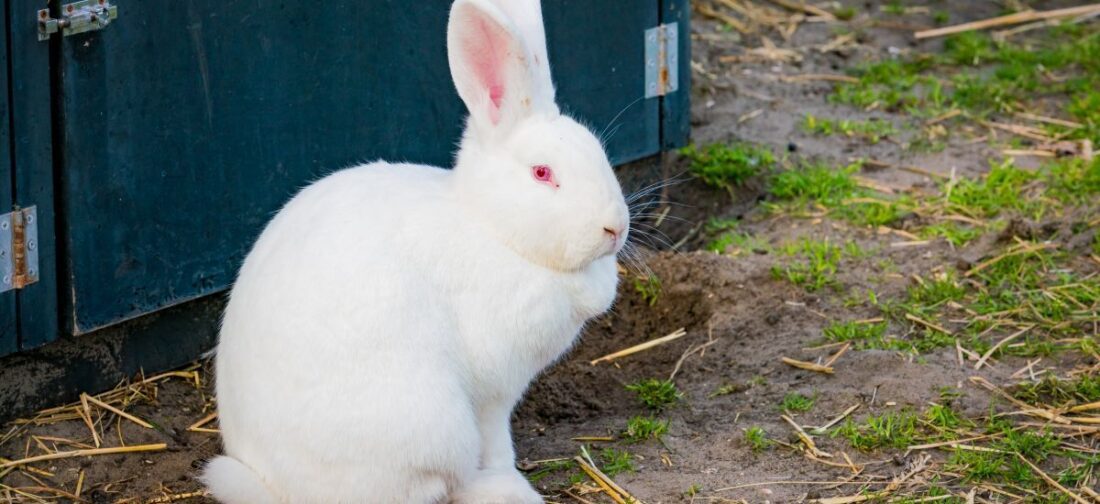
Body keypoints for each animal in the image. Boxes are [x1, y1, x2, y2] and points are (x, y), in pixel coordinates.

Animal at [198, 0, 629, 501]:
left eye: (598, 152)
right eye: (542, 173)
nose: (615, 227)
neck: (493, 227)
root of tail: (280, 488)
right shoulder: (493, 391)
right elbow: (495, 440)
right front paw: (506, 472)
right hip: (435, 427)